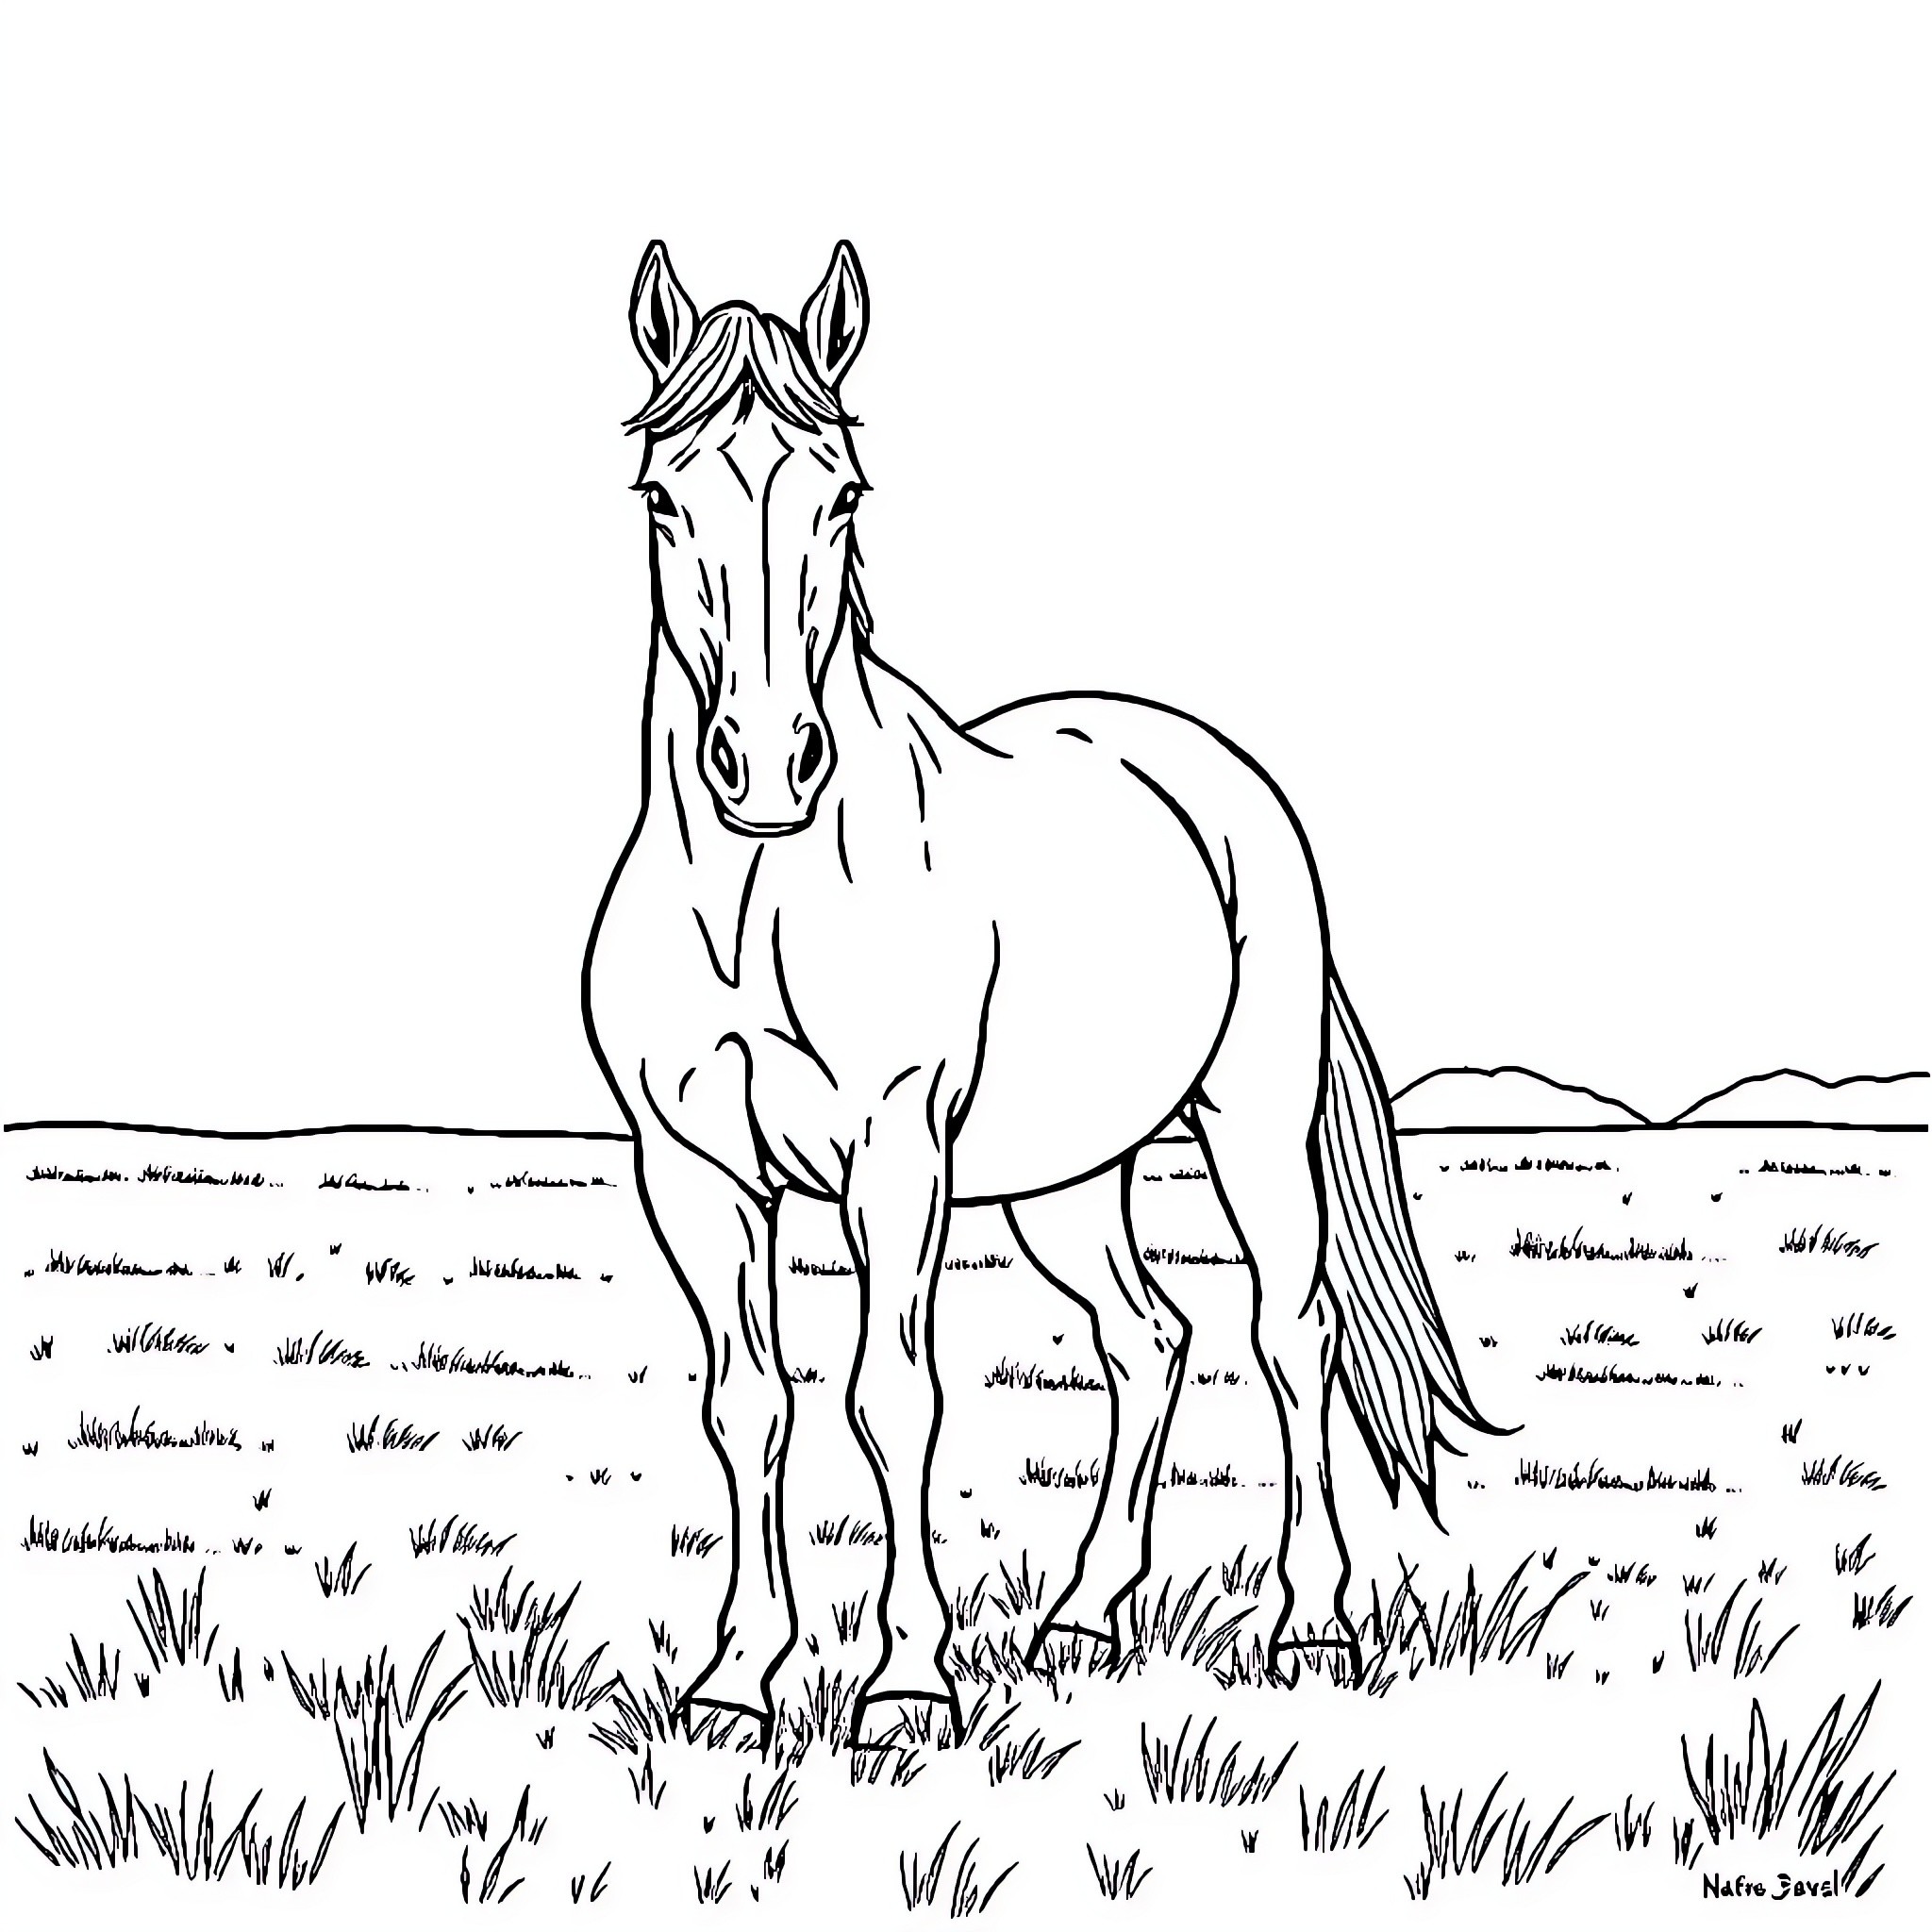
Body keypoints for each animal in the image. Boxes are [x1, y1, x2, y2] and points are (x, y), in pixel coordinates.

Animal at [583, 242, 1497, 1742]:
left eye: (842, 493)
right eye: (664, 497)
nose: (768, 766)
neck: (758, 897)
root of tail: (1205, 764)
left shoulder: (894, 1152)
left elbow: (892, 1395)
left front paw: (905, 1680)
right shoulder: (692, 1169)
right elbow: (748, 1405)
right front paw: (732, 1685)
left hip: (1248, 1124)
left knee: (1287, 1331)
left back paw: (1311, 1625)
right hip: (1066, 1177)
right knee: (1148, 1338)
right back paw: (1082, 1613)